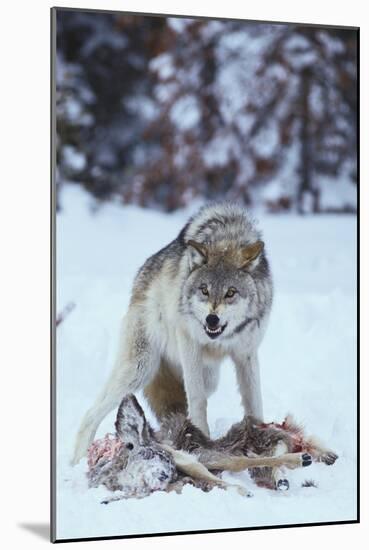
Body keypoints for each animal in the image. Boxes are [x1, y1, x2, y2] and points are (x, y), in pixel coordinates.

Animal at [72, 203, 274, 466]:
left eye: (231, 292)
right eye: (204, 290)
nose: (211, 319)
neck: (226, 238)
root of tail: (141, 275)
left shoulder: (246, 353)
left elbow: (254, 401)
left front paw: (263, 437)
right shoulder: (189, 344)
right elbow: (198, 399)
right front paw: (202, 442)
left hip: (208, 376)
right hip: (140, 369)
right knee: (91, 413)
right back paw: (77, 461)